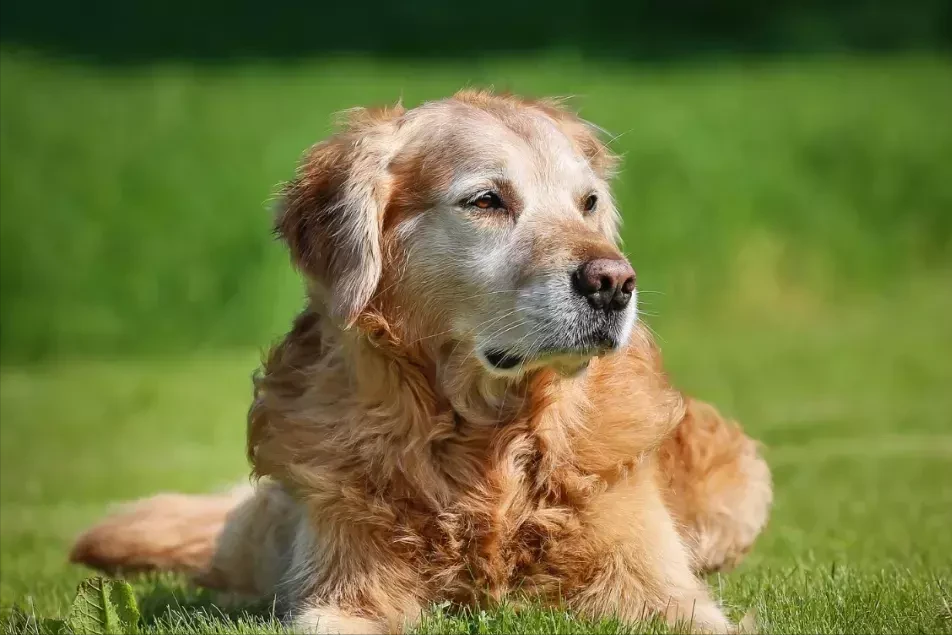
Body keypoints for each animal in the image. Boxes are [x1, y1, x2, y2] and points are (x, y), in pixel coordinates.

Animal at [72, 90, 772, 635]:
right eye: (487, 200)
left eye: (589, 203)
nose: (614, 283)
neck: (485, 442)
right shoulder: (344, 583)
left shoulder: (659, 584)